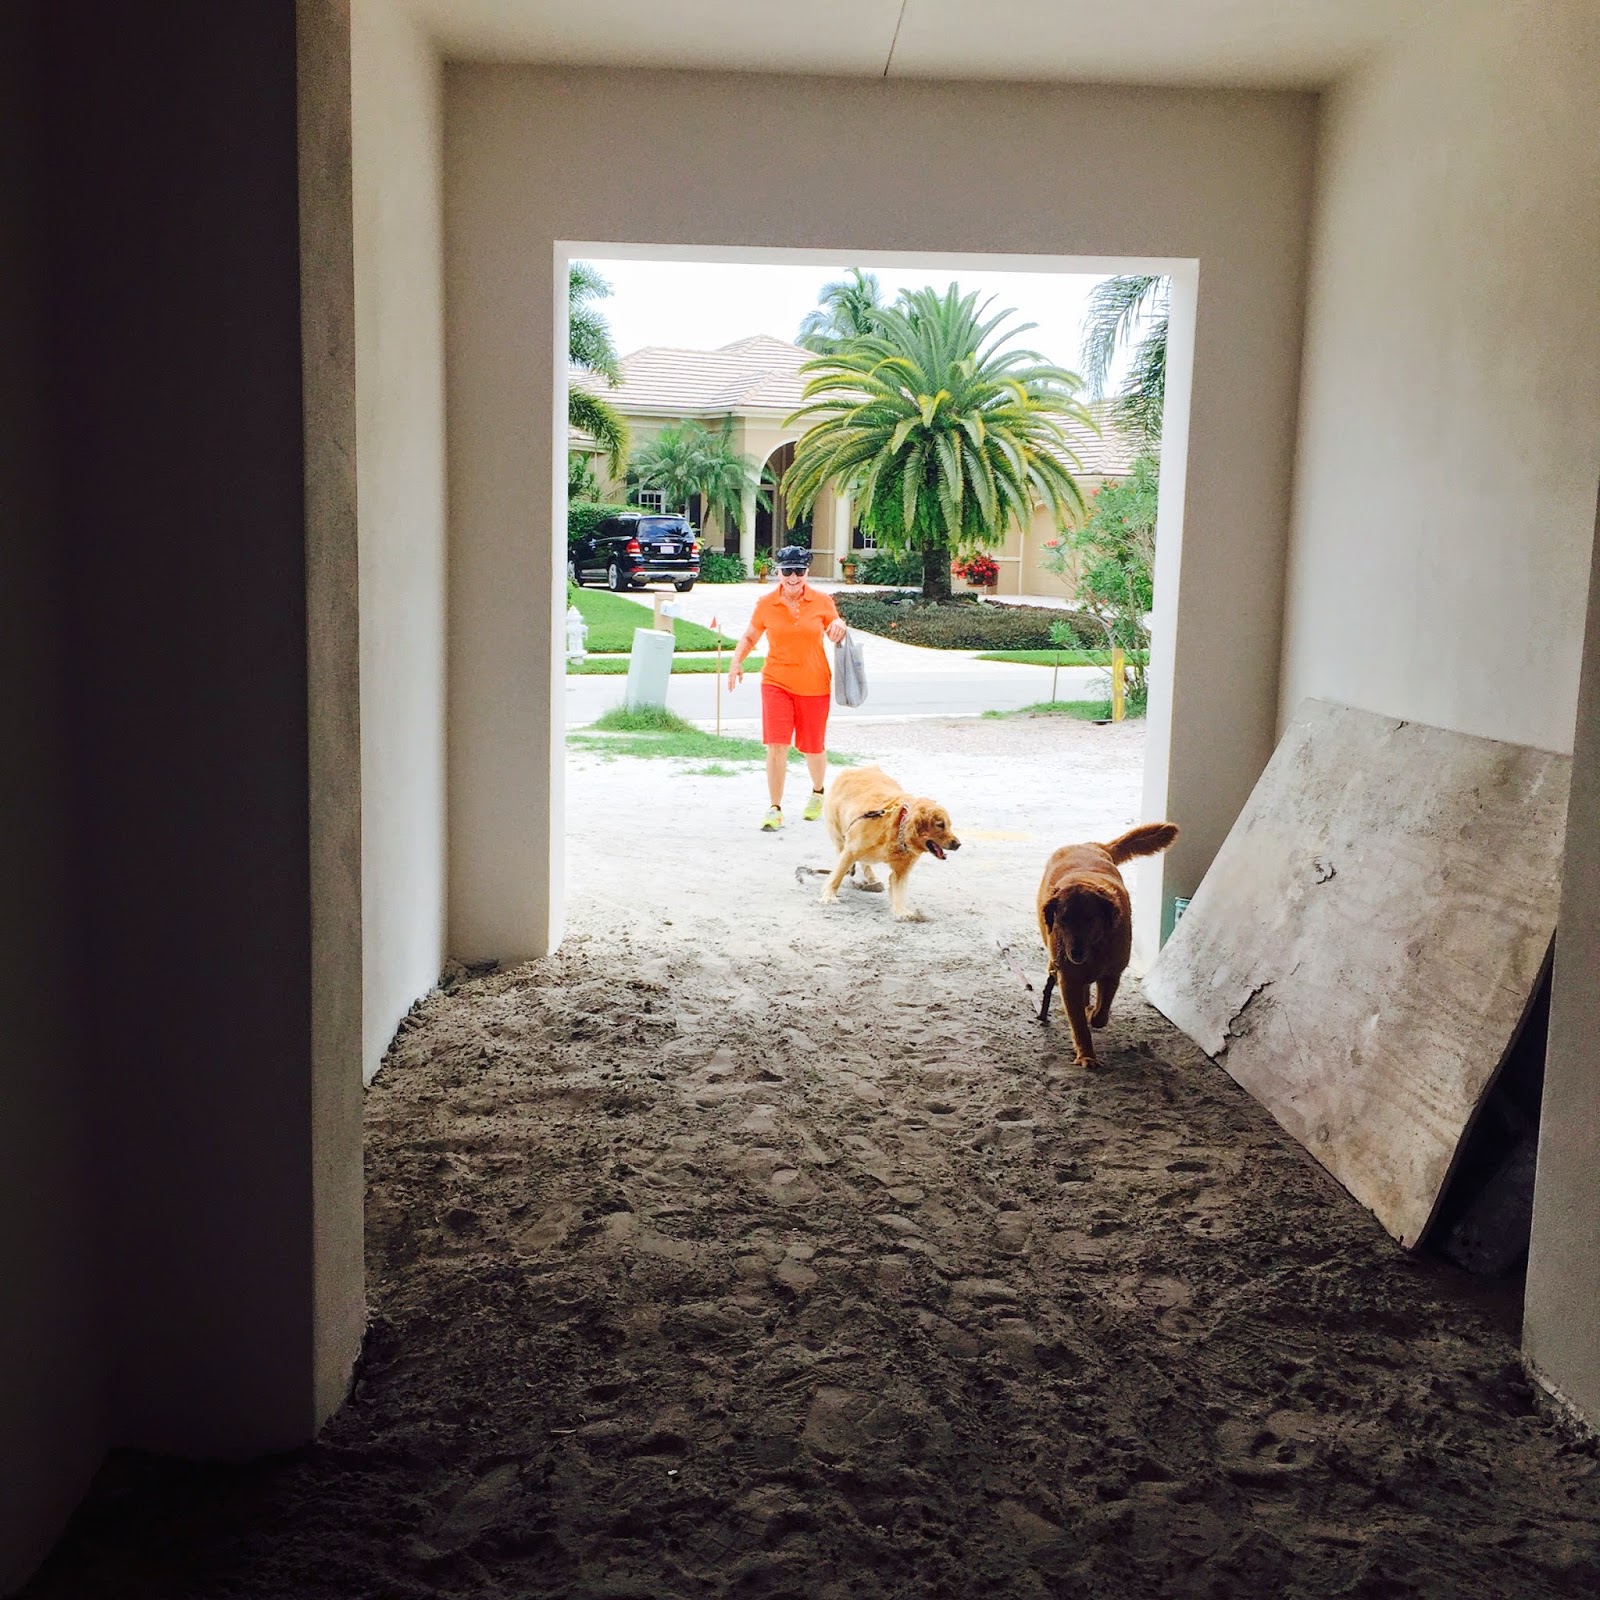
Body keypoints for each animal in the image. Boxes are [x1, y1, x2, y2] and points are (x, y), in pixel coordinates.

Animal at [819, 765, 961, 921]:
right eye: (940, 825)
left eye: (949, 825)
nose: (958, 844)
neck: (899, 827)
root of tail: (854, 769)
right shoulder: (851, 850)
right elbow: (837, 876)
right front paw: (829, 895)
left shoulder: (901, 870)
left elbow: (899, 892)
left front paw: (901, 912)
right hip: (840, 836)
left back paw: (872, 879)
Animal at [1036, 821, 1179, 1066]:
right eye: (1062, 919)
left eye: (1090, 919)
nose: (1075, 953)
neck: (1094, 947)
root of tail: (1091, 845)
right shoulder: (1069, 980)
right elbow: (1079, 1024)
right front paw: (1086, 1055)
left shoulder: (1113, 973)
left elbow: (1101, 1012)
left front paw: (1094, 1015)